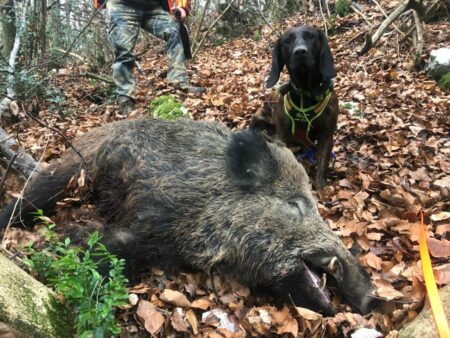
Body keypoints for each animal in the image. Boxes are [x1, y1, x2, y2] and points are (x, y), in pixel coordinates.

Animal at [251, 25, 340, 190]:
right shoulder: (283, 135)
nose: (300, 52)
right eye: (287, 41)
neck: (306, 93)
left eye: (311, 36)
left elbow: (322, 164)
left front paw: (321, 188)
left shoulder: (326, 135)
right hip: (258, 116)